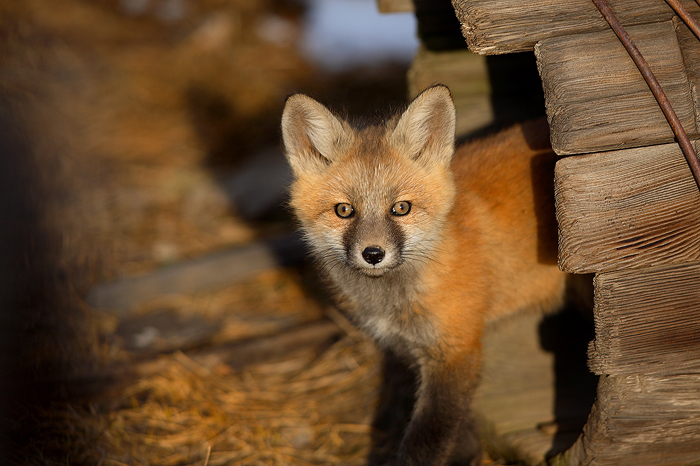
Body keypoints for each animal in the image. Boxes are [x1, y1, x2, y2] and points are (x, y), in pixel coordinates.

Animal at [281, 85, 571, 466]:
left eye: (401, 208)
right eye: (344, 211)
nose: (373, 254)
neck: (394, 302)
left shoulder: (456, 349)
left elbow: (426, 439)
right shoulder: (415, 350)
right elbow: (460, 426)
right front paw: (467, 455)